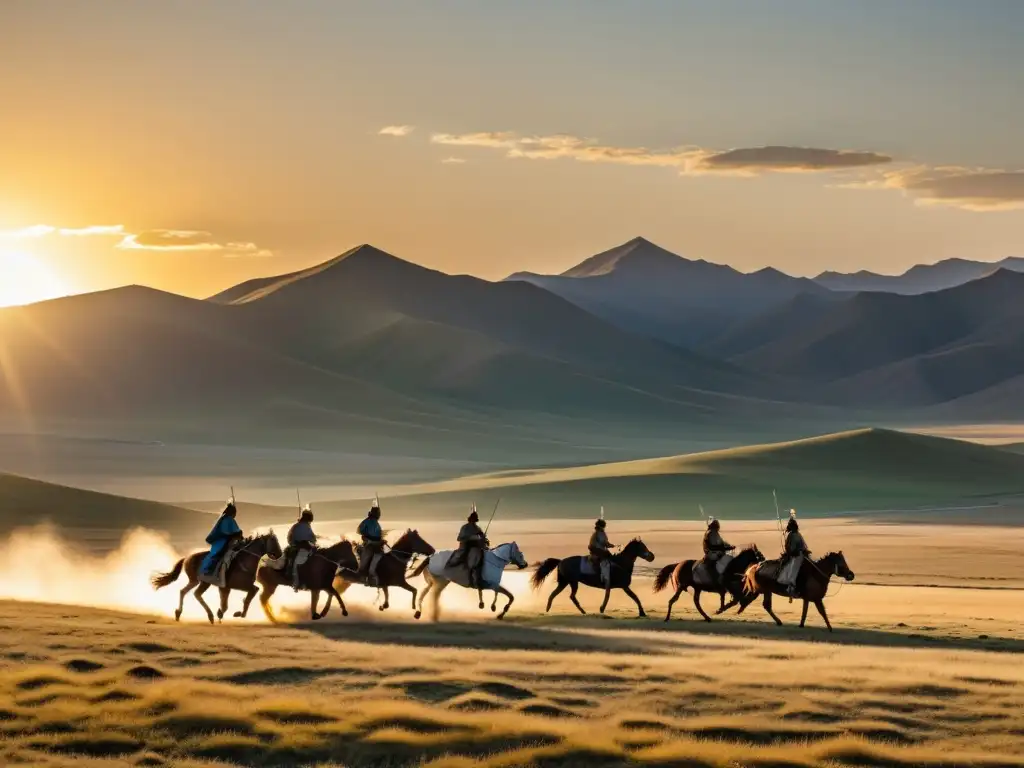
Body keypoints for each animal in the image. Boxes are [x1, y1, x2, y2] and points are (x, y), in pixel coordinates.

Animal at [149, 532, 282, 626]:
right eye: (273, 541)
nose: (280, 554)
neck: (244, 562)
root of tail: (187, 558)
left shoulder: (225, 588)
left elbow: (225, 604)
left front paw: (222, 614)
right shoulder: (240, 585)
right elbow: (252, 592)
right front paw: (238, 613)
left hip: (198, 582)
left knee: (186, 592)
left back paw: (179, 613)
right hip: (200, 582)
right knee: (194, 593)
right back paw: (209, 615)